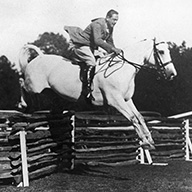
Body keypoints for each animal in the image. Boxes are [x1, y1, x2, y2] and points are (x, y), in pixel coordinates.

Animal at [18, 38, 177, 149]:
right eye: (161, 51)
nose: (172, 74)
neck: (122, 69)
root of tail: (39, 57)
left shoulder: (126, 100)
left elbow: (139, 117)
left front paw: (150, 140)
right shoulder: (115, 101)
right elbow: (133, 118)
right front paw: (145, 142)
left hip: (52, 94)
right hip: (34, 87)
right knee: (22, 82)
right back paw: (22, 104)